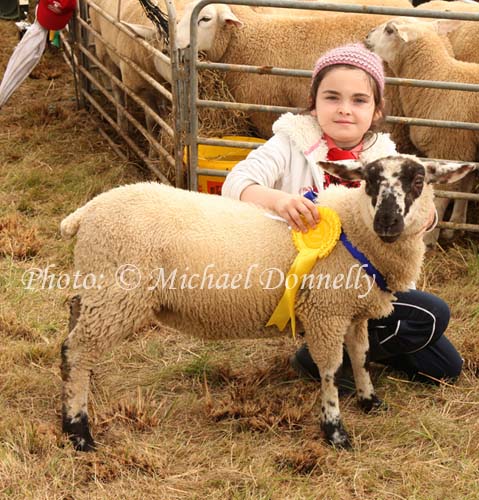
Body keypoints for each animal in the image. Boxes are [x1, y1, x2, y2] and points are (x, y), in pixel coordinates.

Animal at [59, 154, 472, 452]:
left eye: (418, 182)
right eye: (369, 181)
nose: (387, 221)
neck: (354, 232)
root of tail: (85, 212)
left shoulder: (353, 312)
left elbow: (360, 356)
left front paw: (370, 399)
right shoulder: (326, 312)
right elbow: (330, 369)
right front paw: (335, 431)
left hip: (97, 288)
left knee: (70, 341)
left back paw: (73, 405)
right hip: (117, 292)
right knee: (80, 351)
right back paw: (79, 431)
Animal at [366, 18, 478, 245]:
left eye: (389, 30)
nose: (367, 36)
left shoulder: (449, 148)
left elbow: (443, 195)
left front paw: (430, 237)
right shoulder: (466, 147)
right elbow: (465, 187)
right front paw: (456, 225)